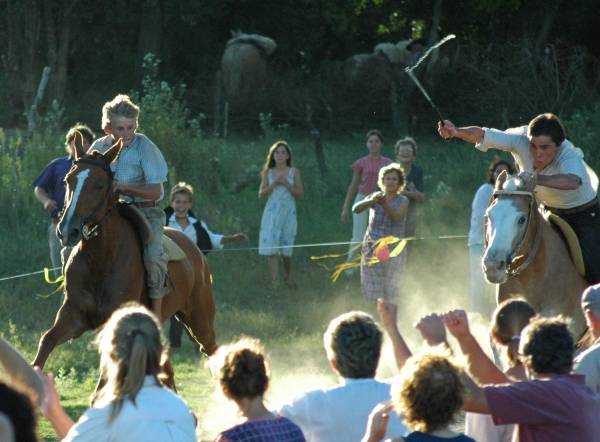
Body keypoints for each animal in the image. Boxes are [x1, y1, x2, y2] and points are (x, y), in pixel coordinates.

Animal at [31, 139, 217, 372]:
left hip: (200, 319)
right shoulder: (73, 316)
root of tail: (196, 252)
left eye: (99, 185)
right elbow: (46, 341)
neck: (101, 260)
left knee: (211, 348)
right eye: (67, 180)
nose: (67, 230)